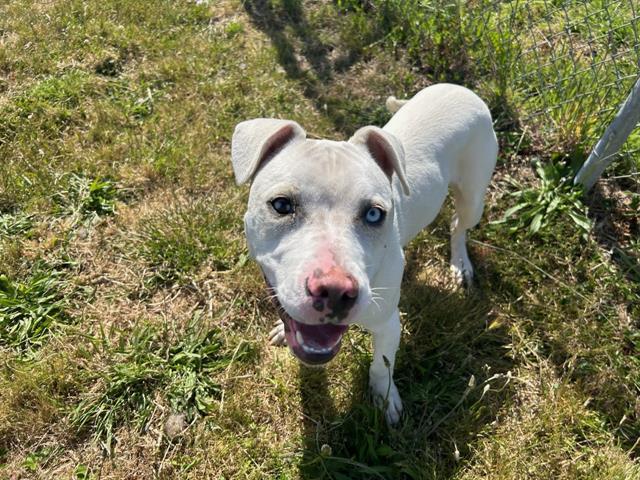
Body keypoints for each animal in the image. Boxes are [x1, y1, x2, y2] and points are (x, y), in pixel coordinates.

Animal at [230, 84, 500, 422]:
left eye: (374, 214)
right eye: (281, 204)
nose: (334, 291)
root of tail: (460, 89)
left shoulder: (388, 325)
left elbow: (381, 367)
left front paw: (384, 400)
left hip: (473, 198)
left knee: (457, 224)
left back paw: (460, 262)